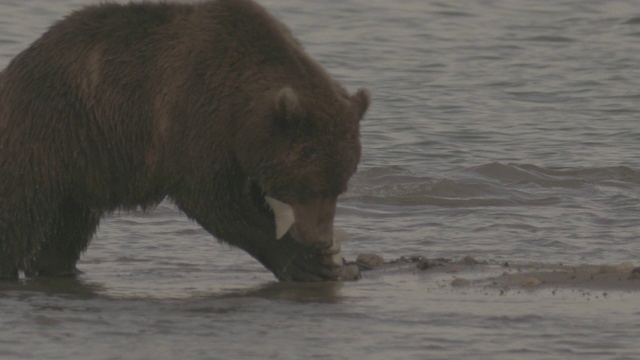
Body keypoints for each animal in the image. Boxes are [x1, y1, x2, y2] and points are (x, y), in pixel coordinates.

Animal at [0, 0, 370, 282]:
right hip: (47, 133)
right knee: (19, 215)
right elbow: (213, 199)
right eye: (311, 184)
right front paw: (307, 261)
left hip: (82, 163)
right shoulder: (196, 116)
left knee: (68, 227)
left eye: (340, 186)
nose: (320, 239)